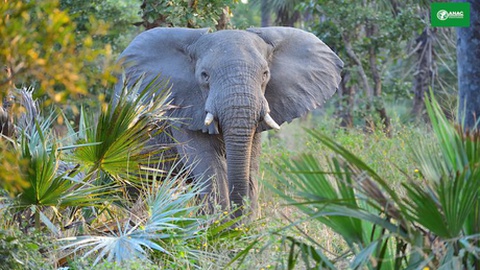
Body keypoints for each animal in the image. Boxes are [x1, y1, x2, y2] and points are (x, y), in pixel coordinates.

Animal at [114, 25, 344, 219]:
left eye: (265, 74)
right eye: (204, 75)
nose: (236, 217)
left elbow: (250, 162)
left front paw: (241, 229)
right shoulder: (183, 107)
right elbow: (209, 163)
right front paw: (222, 228)